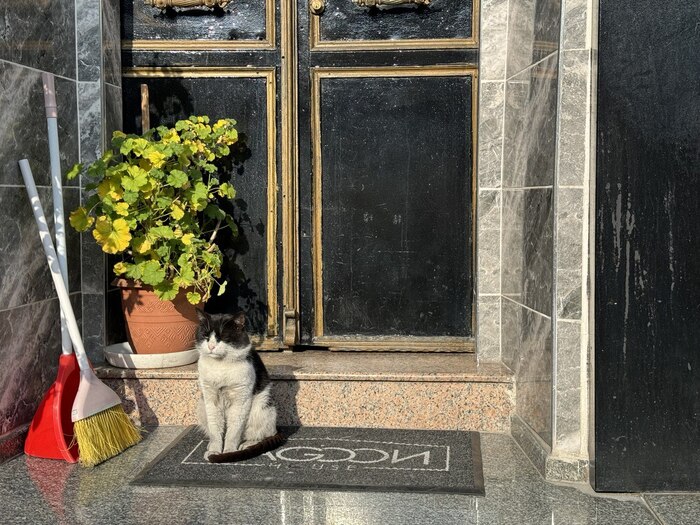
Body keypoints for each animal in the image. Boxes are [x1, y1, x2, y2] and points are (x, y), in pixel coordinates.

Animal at [195, 310, 279, 461]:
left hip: (261, 408)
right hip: (201, 405)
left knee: (264, 434)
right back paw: (209, 445)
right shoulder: (210, 399)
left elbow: (233, 432)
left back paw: (246, 445)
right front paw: (214, 451)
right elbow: (215, 430)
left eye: (222, 337)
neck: (220, 367)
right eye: (205, 336)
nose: (211, 346)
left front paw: (229, 452)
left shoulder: (240, 401)